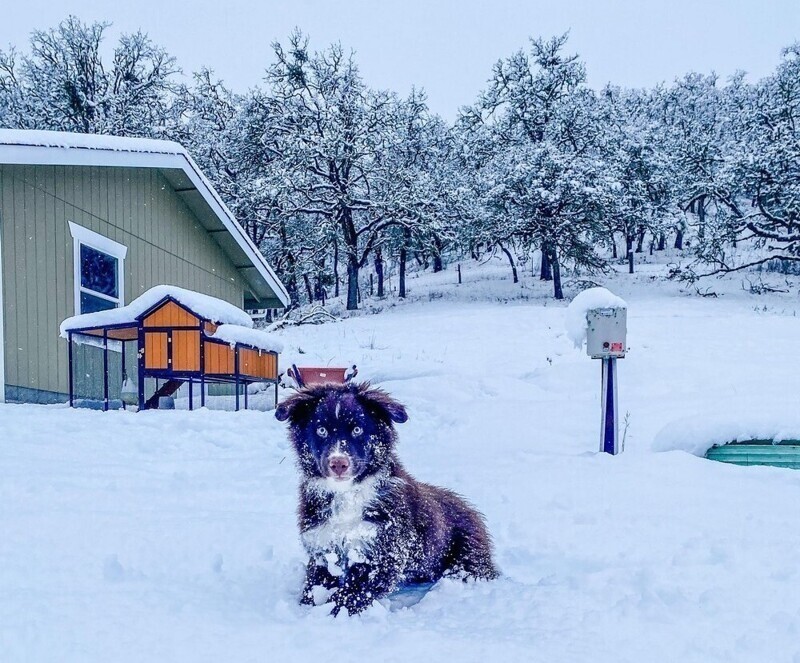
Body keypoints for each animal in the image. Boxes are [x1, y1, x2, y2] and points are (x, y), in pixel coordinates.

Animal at [278, 384, 496, 616]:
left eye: (357, 430)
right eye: (321, 430)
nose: (338, 464)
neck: (348, 494)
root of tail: (470, 508)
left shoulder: (385, 552)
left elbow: (353, 592)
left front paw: (334, 612)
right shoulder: (324, 546)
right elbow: (314, 586)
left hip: (466, 555)